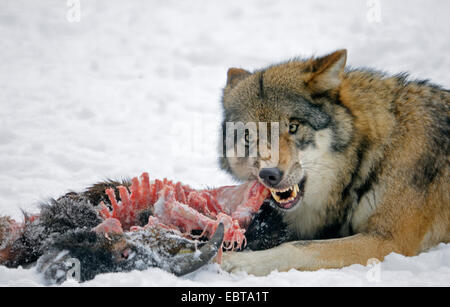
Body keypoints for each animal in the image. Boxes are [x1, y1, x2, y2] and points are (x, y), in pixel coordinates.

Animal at [217, 49, 446, 276]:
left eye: (293, 127)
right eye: (248, 136)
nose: (269, 174)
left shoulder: (389, 241)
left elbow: (298, 247)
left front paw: (241, 261)